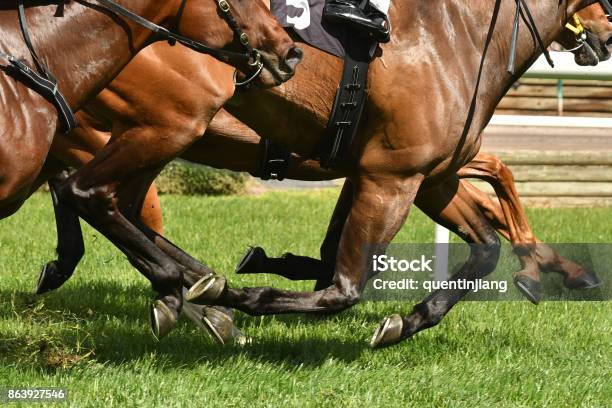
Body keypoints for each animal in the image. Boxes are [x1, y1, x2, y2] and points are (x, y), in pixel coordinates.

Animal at [37, 1, 608, 346]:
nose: (605, 32)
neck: (454, 37)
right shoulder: (390, 175)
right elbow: (344, 285)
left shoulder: (429, 175)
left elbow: (485, 244)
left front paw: (410, 319)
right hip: (166, 124)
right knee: (91, 194)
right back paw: (198, 293)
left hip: (150, 133)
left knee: (114, 204)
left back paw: (184, 286)